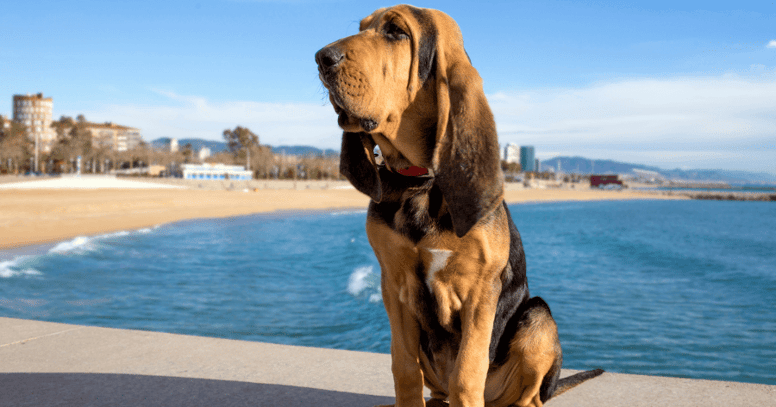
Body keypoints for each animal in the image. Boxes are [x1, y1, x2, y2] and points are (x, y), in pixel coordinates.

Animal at [316, 3, 608, 407]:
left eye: (396, 31)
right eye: (362, 27)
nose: (321, 58)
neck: (420, 181)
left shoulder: (480, 292)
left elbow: (467, 374)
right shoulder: (394, 285)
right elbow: (404, 369)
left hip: (538, 318)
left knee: (529, 394)